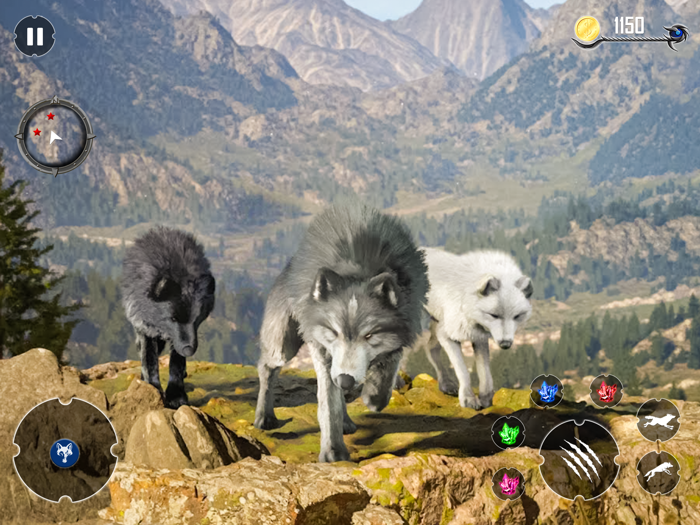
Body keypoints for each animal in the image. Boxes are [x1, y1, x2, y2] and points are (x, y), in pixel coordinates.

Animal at [121, 226, 215, 409]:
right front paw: (153, 391)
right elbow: (150, 362)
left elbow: (176, 365)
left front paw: (176, 396)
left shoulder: (178, 341)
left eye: (197, 319)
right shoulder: (146, 329)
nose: (189, 350)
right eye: (172, 319)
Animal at [254, 204, 429, 463]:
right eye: (333, 332)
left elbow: (387, 372)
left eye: (369, 336)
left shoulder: (400, 334)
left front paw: (374, 397)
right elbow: (328, 404)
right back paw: (264, 417)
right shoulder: (321, 350)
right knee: (266, 367)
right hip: (283, 347)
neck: (357, 266)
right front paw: (333, 452)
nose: (346, 379)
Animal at [404, 248, 533, 409]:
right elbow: (463, 370)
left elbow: (484, 370)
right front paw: (468, 399)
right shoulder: (449, 336)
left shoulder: (479, 337)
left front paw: (486, 399)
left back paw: (446, 385)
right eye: (494, 315)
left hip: (436, 324)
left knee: (430, 348)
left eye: (517, 316)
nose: (505, 344)